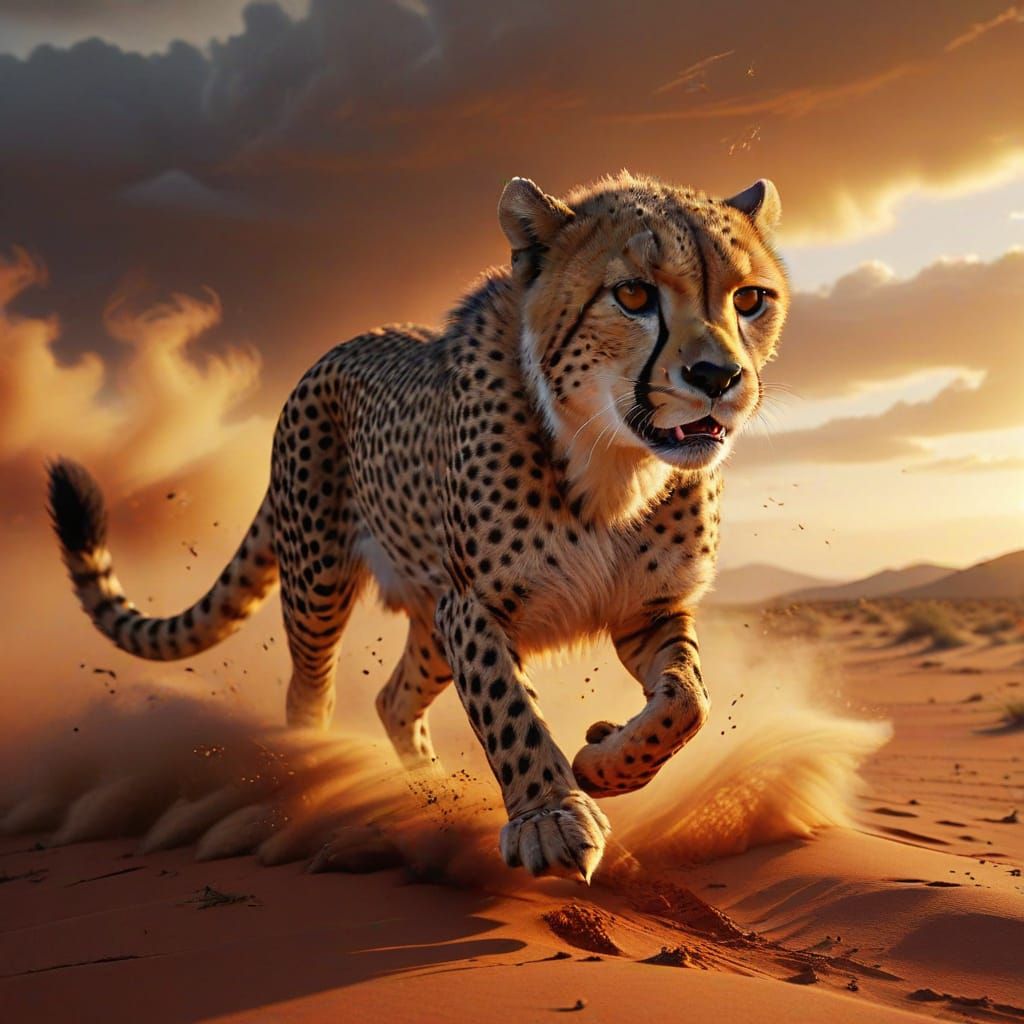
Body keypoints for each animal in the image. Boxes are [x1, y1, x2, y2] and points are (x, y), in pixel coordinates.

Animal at [48, 172, 789, 882]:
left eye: (750, 300)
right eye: (633, 295)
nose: (718, 376)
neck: (612, 463)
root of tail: (347, 342)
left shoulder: (648, 607)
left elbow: (686, 702)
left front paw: (605, 762)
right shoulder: (477, 608)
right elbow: (511, 714)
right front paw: (549, 816)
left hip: (428, 623)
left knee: (392, 700)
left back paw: (431, 791)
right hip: (320, 584)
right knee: (307, 692)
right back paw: (314, 774)